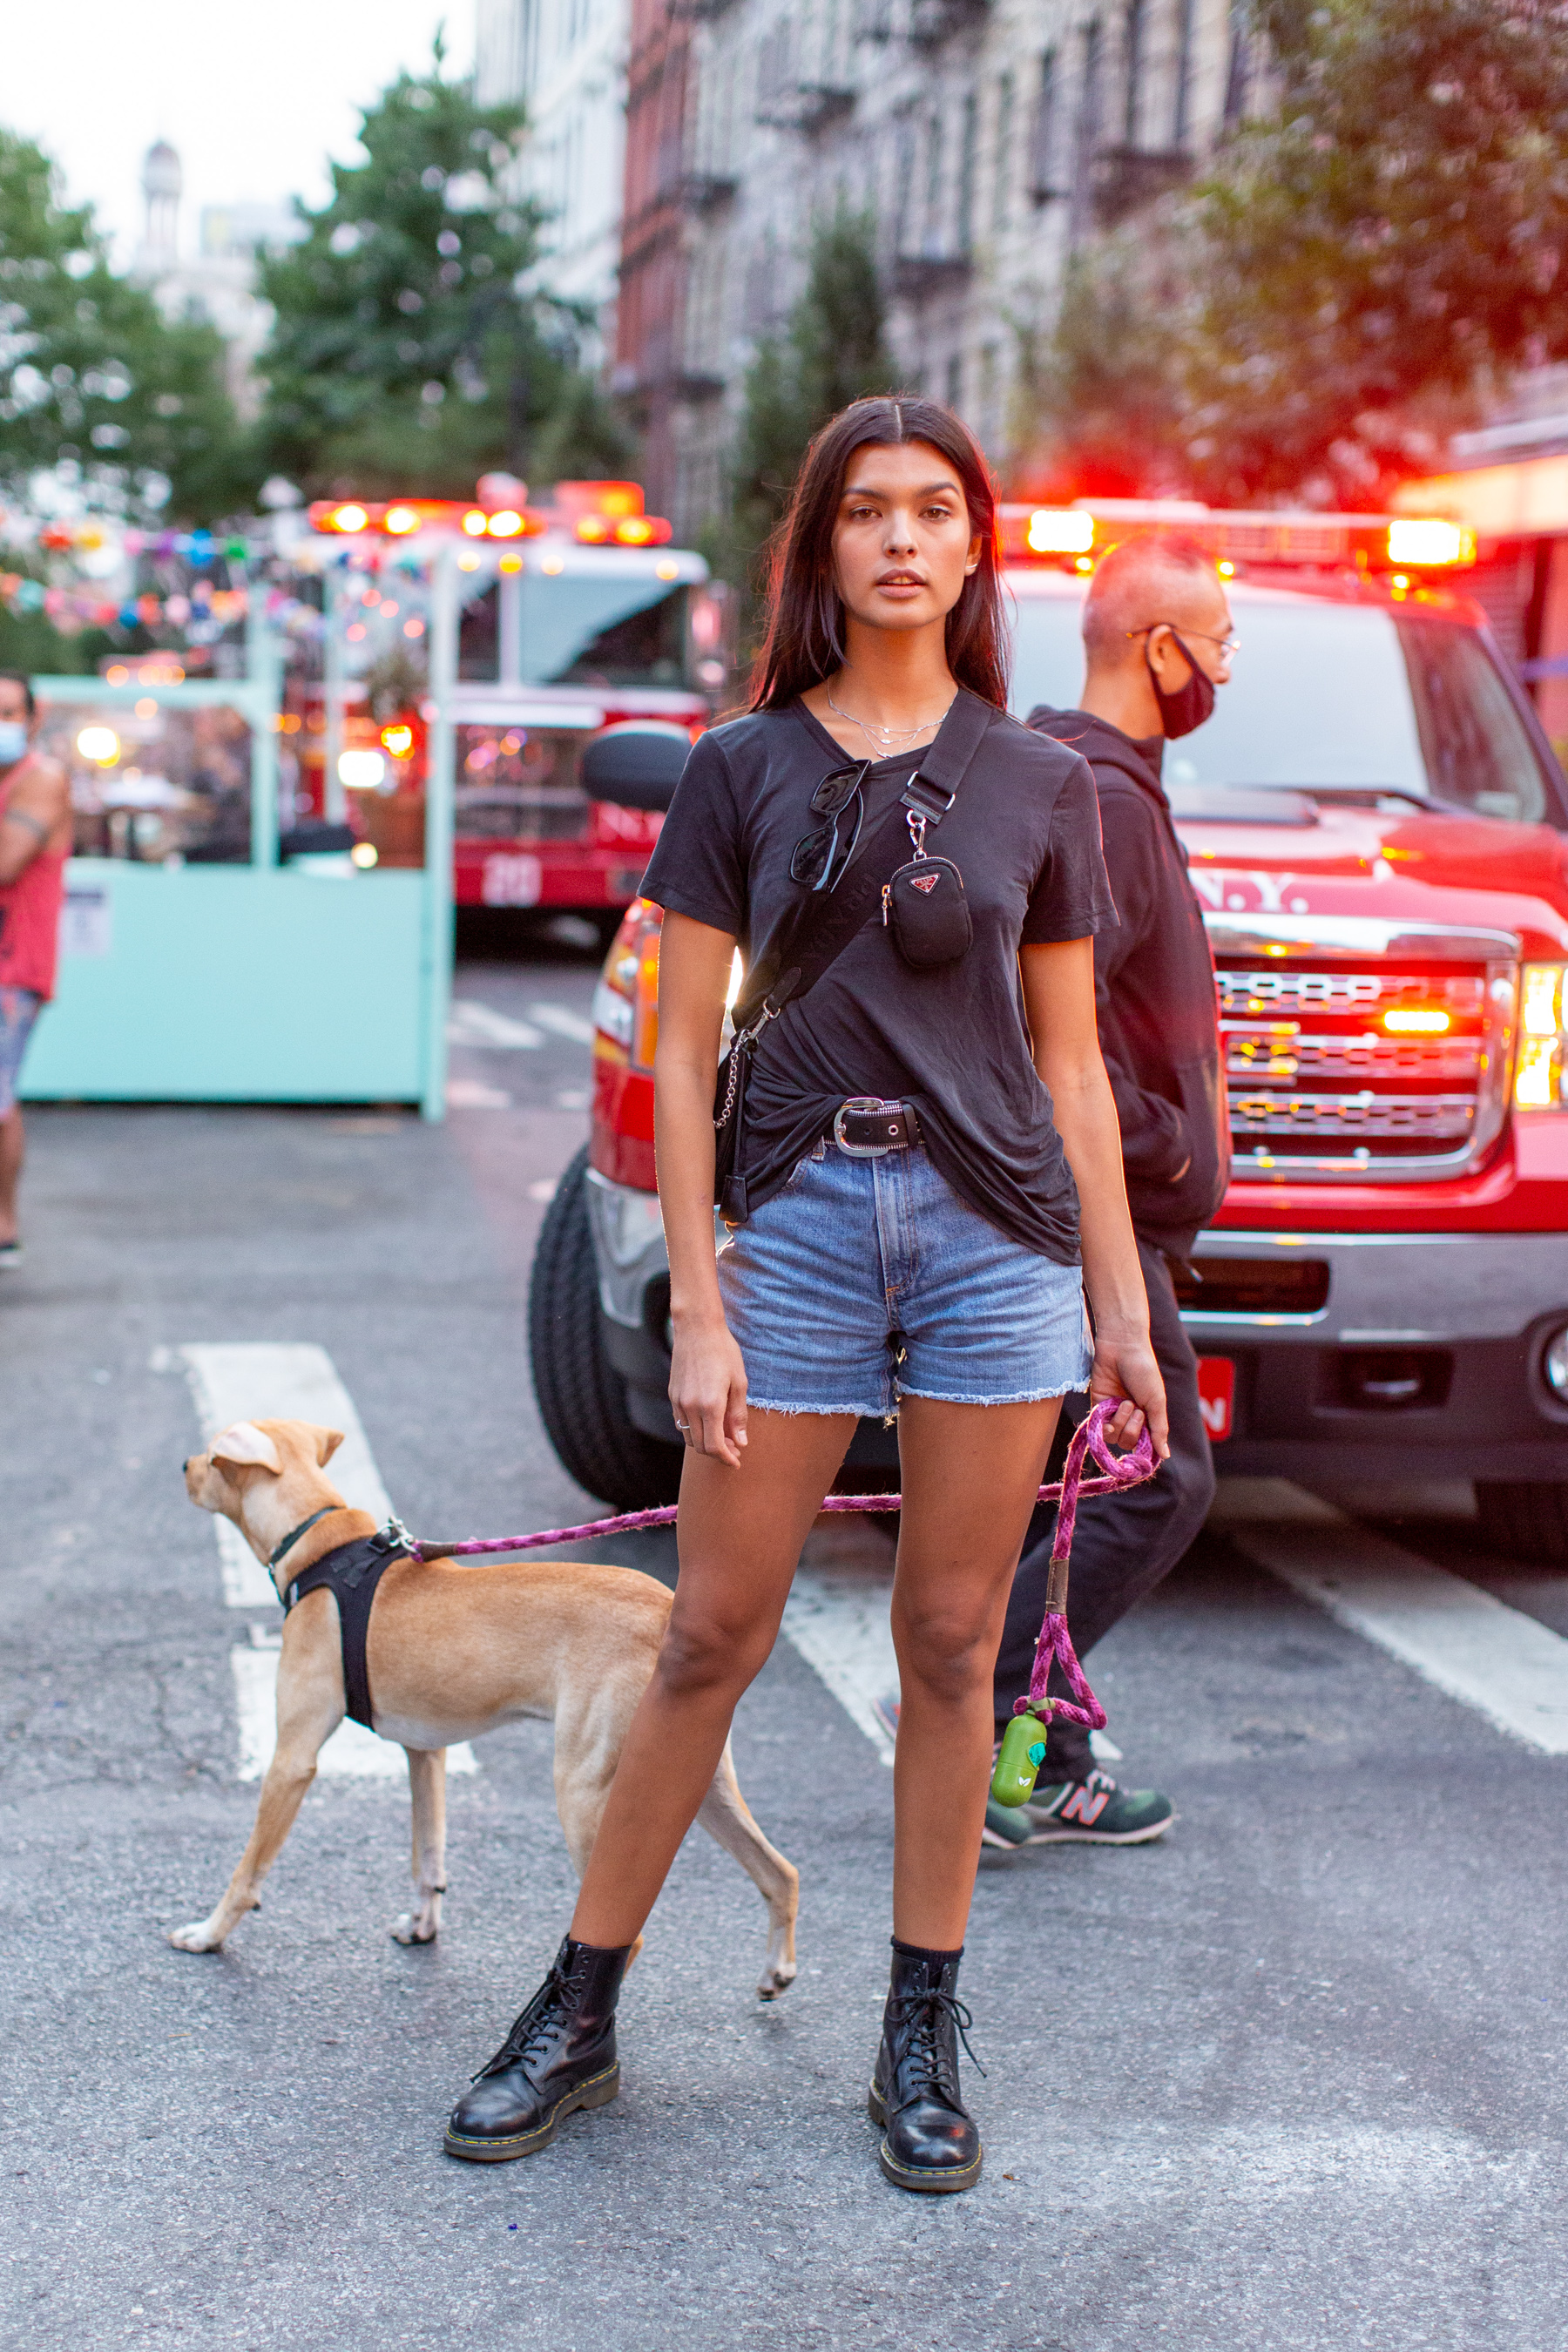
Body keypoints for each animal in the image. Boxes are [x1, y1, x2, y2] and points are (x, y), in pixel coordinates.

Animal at [175, 1420, 799, 1994]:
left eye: (211, 1455)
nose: (183, 1467)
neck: (323, 1546)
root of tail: (665, 1611)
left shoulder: (292, 1760)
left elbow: (248, 1869)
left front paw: (207, 1934)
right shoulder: (425, 1753)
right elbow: (428, 1856)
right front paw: (423, 1926)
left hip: (585, 1788)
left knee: (632, 1935)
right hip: (699, 1775)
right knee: (780, 1872)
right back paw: (777, 1970)